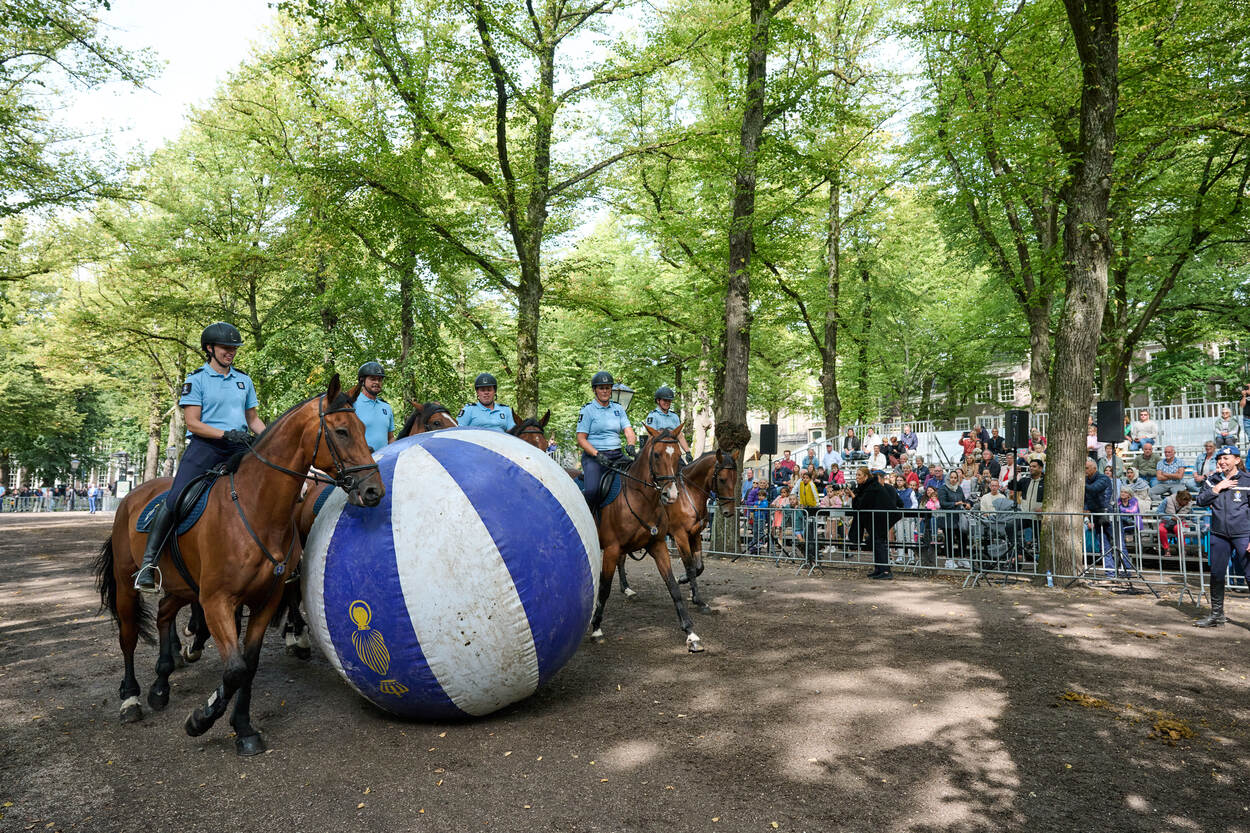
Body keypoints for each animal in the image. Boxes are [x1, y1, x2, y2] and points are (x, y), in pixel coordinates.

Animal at [93, 374, 384, 755]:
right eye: (342, 431)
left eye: (364, 427)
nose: (373, 491)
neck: (257, 508)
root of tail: (132, 496)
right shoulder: (217, 601)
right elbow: (234, 670)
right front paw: (200, 720)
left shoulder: (264, 600)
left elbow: (249, 665)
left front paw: (243, 728)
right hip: (130, 585)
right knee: (127, 636)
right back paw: (131, 699)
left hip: (182, 586)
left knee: (164, 615)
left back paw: (161, 684)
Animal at [589, 424, 707, 651]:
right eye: (656, 454)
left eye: (678, 454)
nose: (671, 494)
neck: (640, 499)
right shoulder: (611, 549)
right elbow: (604, 588)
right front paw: (597, 629)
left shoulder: (658, 545)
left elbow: (673, 586)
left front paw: (691, 633)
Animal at [616, 448, 740, 613]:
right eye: (722, 479)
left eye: (735, 478)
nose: (729, 512)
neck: (689, 496)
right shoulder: (680, 536)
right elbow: (690, 567)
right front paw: (698, 600)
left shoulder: (695, 534)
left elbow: (699, 567)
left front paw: (683, 581)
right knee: (620, 559)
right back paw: (625, 588)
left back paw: (626, 588)